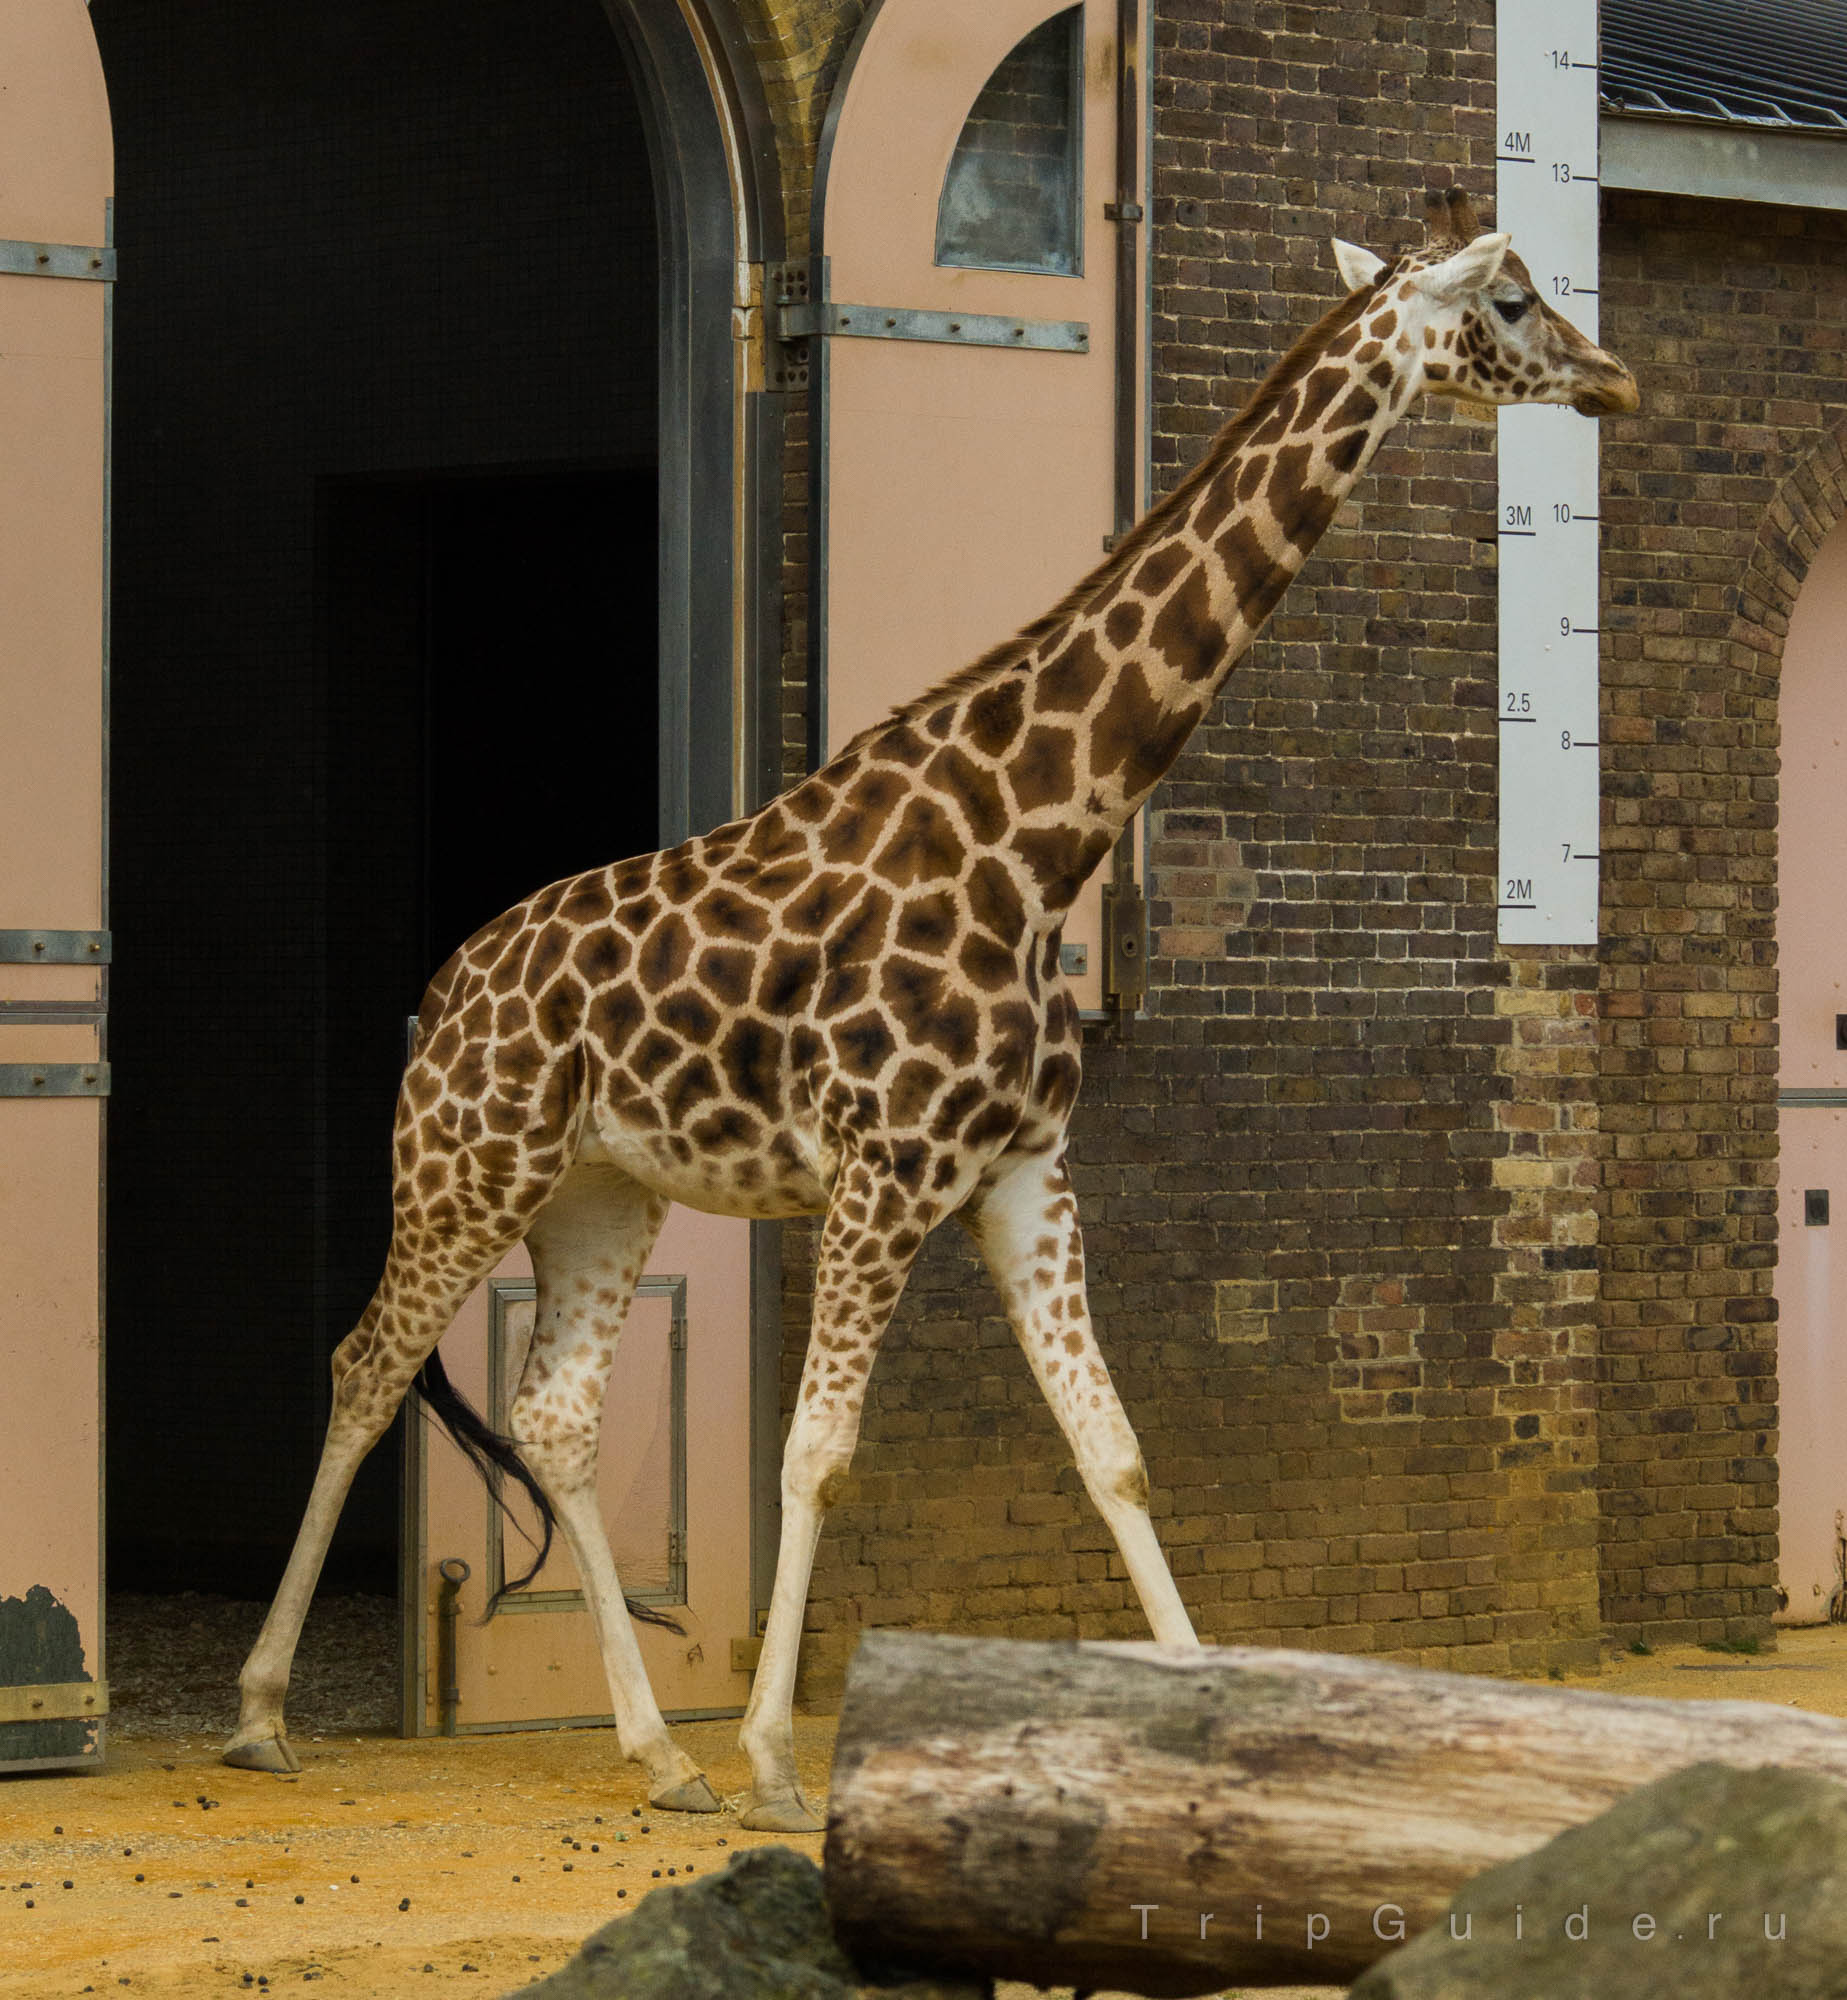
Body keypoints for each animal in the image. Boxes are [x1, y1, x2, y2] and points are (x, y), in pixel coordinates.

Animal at [221, 191, 1638, 1832]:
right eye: (1517, 299)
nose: (1613, 380)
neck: (1037, 836)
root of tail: (445, 989)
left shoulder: (1022, 1170)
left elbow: (1114, 1451)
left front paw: (1207, 1720)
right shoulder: (884, 1170)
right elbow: (816, 1455)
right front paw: (777, 1756)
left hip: (599, 1192)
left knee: (556, 1415)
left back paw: (654, 1755)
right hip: (467, 1169)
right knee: (365, 1368)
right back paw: (262, 1716)